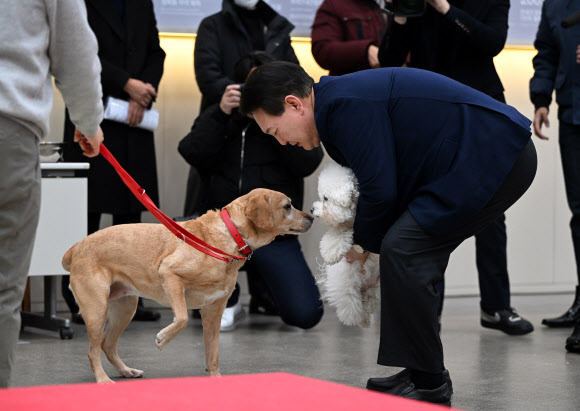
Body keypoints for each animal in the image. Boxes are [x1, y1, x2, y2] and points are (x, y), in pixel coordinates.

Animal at [312, 163, 380, 328]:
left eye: (326, 198)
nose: (312, 209)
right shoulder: (344, 227)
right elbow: (338, 235)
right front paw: (330, 254)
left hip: (377, 285)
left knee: (371, 299)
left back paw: (368, 307)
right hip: (347, 285)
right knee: (352, 306)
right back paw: (361, 319)